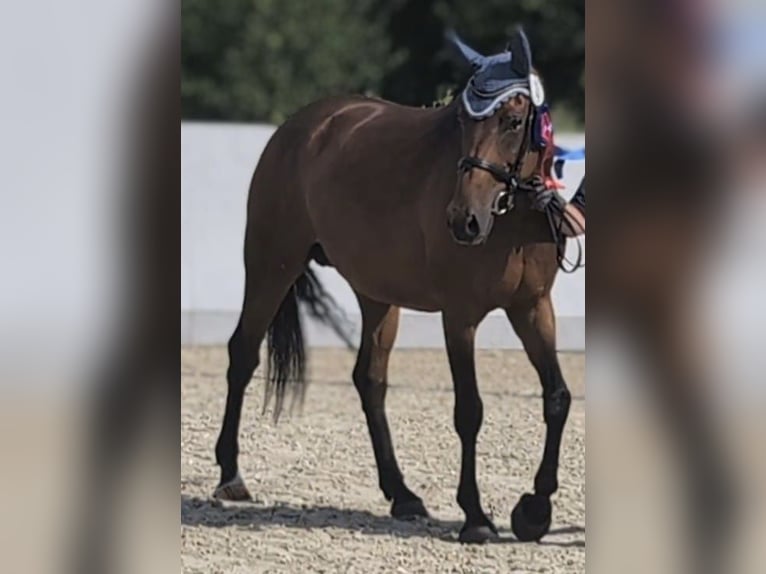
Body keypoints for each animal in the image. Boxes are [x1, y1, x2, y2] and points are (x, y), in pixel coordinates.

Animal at [213, 29, 572, 548]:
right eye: (462, 120)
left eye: (513, 120)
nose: (462, 220)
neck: (512, 222)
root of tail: (301, 125)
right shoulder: (459, 316)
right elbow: (470, 409)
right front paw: (476, 516)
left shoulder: (532, 309)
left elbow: (557, 397)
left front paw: (535, 511)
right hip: (270, 265)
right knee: (243, 353)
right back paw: (230, 474)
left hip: (376, 294)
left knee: (369, 379)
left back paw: (401, 494)